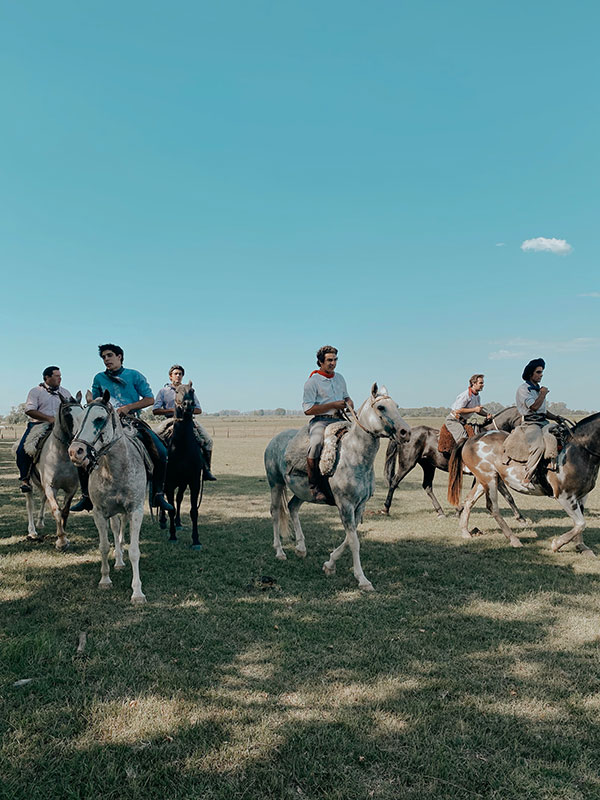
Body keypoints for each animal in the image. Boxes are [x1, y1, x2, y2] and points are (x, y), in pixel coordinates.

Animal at [67, 390, 147, 604]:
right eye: (78, 419)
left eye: (99, 419)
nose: (75, 452)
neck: (114, 470)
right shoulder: (100, 513)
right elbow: (103, 546)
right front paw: (105, 580)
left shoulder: (135, 511)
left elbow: (134, 550)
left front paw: (137, 592)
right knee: (116, 530)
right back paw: (118, 561)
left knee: (121, 532)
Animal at [264, 384, 410, 592]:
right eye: (381, 407)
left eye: (396, 406)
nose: (406, 432)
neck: (355, 456)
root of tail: (273, 440)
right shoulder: (345, 505)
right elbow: (354, 542)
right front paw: (362, 580)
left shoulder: (360, 506)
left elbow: (350, 537)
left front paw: (329, 564)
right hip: (275, 484)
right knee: (276, 512)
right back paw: (280, 551)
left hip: (303, 491)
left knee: (292, 507)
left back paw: (301, 548)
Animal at [382, 406, 524, 520]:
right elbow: (507, 494)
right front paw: (520, 517)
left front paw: (459, 510)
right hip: (407, 464)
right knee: (394, 482)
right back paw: (385, 509)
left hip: (429, 466)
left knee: (427, 486)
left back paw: (440, 512)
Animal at [446, 412, 600, 556]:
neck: (578, 451)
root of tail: (470, 439)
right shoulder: (564, 496)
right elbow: (581, 524)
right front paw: (557, 544)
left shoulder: (581, 497)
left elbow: (579, 524)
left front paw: (582, 546)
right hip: (489, 479)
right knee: (492, 508)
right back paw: (514, 540)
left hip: (482, 480)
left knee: (469, 501)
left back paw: (465, 532)